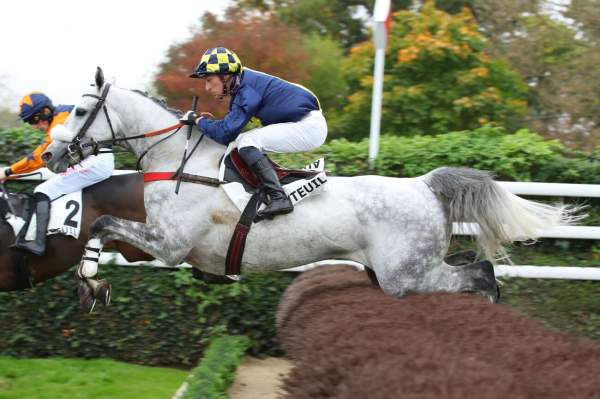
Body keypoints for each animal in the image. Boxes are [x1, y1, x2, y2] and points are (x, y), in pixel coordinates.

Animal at [43, 69, 580, 306]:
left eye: (80, 109)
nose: (49, 156)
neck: (179, 160)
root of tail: (424, 184)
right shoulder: (156, 242)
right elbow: (104, 227)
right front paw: (91, 278)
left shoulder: (171, 244)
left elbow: (106, 221)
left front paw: (90, 281)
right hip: (404, 268)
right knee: (470, 264)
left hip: (405, 275)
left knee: (481, 274)